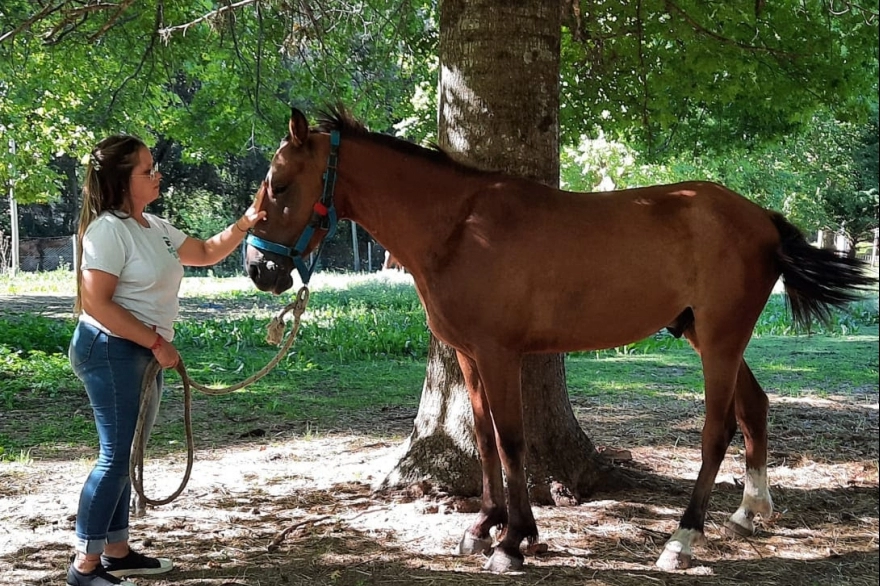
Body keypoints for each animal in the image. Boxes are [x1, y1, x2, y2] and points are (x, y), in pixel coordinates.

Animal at [244, 106, 876, 572]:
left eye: (279, 184)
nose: (258, 268)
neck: (458, 227)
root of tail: (762, 218)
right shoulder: (470, 357)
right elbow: (484, 436)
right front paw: (484, 526)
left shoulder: (499, 355)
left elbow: (512, 440)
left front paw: (514, 542)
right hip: (709, 335)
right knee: (756, 407)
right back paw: (750, 511)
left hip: (720, 340)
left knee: (717, 431)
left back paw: (681, 540)